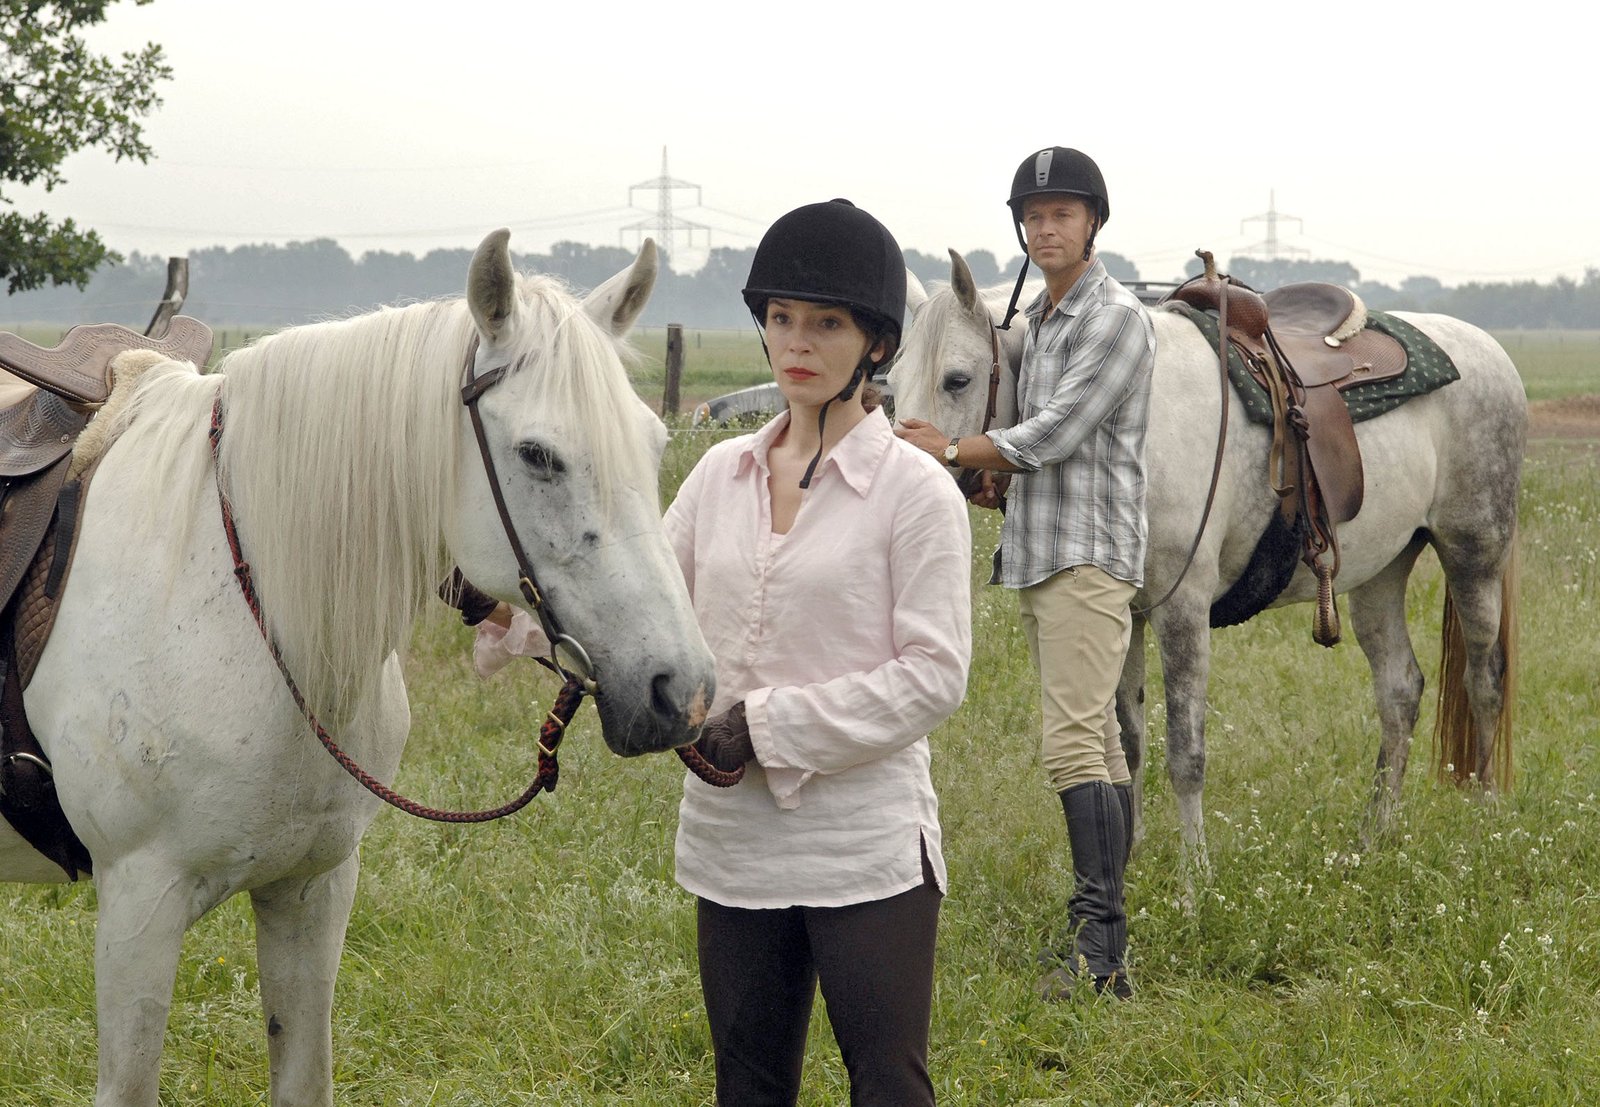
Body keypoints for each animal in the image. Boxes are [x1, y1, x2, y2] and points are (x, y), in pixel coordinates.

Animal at [0, 229, 716, 1106]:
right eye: (538, 455)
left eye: (653, 443)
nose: (680, 691)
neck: (245, 604)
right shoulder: (140, 904)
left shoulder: (312, 890)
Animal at [889, 250, 1524, 886]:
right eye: (890, 386)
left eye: (957, 379)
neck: (1135, 420)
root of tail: (1489, 350)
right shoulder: (1125, 611)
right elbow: (1128, 742)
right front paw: (1130, 857)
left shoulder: (1182, 610)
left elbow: (1185, 753)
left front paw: (1195, 880)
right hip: (1381, 572)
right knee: (1399, 691)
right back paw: (1374, 836)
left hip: (1473, 554)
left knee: (1485, 680)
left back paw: (1486, 821)